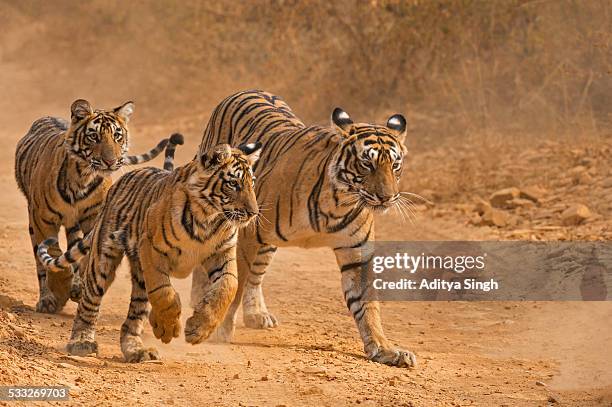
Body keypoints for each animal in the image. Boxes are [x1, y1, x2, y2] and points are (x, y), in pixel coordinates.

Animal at [13, 99, 175, 316]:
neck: (83, 177)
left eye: (117, 136)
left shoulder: (95, 218)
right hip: (34, 221)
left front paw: (77, 286)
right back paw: (47, 299)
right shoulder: (43, 219)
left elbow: (86, 256)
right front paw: (60, 288)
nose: (110, 161)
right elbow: (53, 252)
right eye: (94, 136)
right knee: (41, 262)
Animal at [35, 140, 260, 364]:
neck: (208, 217)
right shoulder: (151, 248)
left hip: (138, 277)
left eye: (252, 183)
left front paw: (198, 329)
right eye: (233, 184)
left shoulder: (223, 252)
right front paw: (169, 327)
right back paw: (81, 342)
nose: (253, 213)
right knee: (90, 301)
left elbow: (228, 286)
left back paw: (136, 350)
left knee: (134, 316)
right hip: (103, 259)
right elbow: (163, 291)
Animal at [195, 90, 416, 370]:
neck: (339, 203)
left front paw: (385, 349)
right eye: (367, 164)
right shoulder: (248, 233)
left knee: (256, 276)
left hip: (267, 245)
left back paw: (257, 314)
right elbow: (234, 282)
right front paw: (219, 330)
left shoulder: (356, 251)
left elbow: (367, 305)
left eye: (395, 165)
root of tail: (247, 90)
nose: (387, 197)